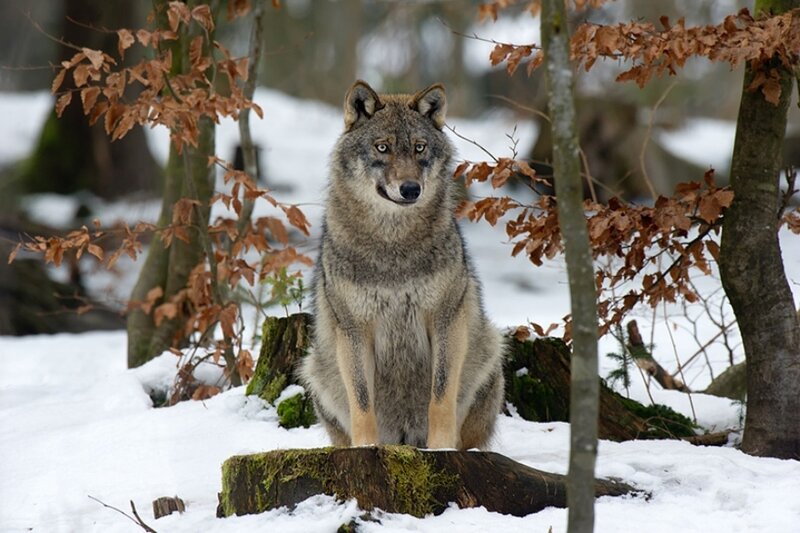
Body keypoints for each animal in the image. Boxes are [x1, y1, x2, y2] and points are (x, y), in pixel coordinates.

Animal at [299, 80, 505, 450]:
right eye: (383, 148)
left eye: (419, 148)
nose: (411, 189)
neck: (392, 244)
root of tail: (405, 439)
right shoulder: (353, 329)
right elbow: (362, 400)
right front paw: (366, 448)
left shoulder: (445, 318)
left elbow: (440, 394)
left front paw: (442, 449)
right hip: (314, 368)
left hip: (490, 347)